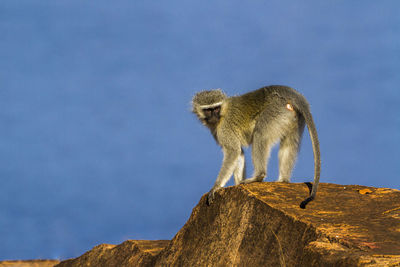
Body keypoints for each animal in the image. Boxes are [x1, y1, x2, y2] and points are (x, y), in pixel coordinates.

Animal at [192, 86, 320, 209]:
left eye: (216, 108)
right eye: (208, 110)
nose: (214, 116)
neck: (223, 112)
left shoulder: (224, 129)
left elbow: (233, 151)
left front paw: (216, 187)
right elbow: (239, 153)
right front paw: (237, 184)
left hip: (276, 111)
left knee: (260, 134)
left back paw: (258, 176)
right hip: (292, 117)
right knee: (289, 143)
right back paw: (283, 180)